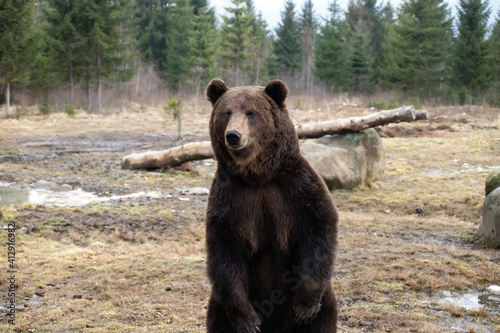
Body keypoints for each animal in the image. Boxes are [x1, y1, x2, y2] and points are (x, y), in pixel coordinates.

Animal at [204, 78, 340, 332]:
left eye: (251, 113)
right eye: (227, 112)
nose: (233, 135)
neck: (258, 177)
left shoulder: (297, 189)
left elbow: (318, 230)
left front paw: (303, 309)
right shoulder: (230, 198)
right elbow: (224, 249)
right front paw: (249, 322)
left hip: (325, 299)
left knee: (322, 319)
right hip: (218, 303)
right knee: (219, 318)